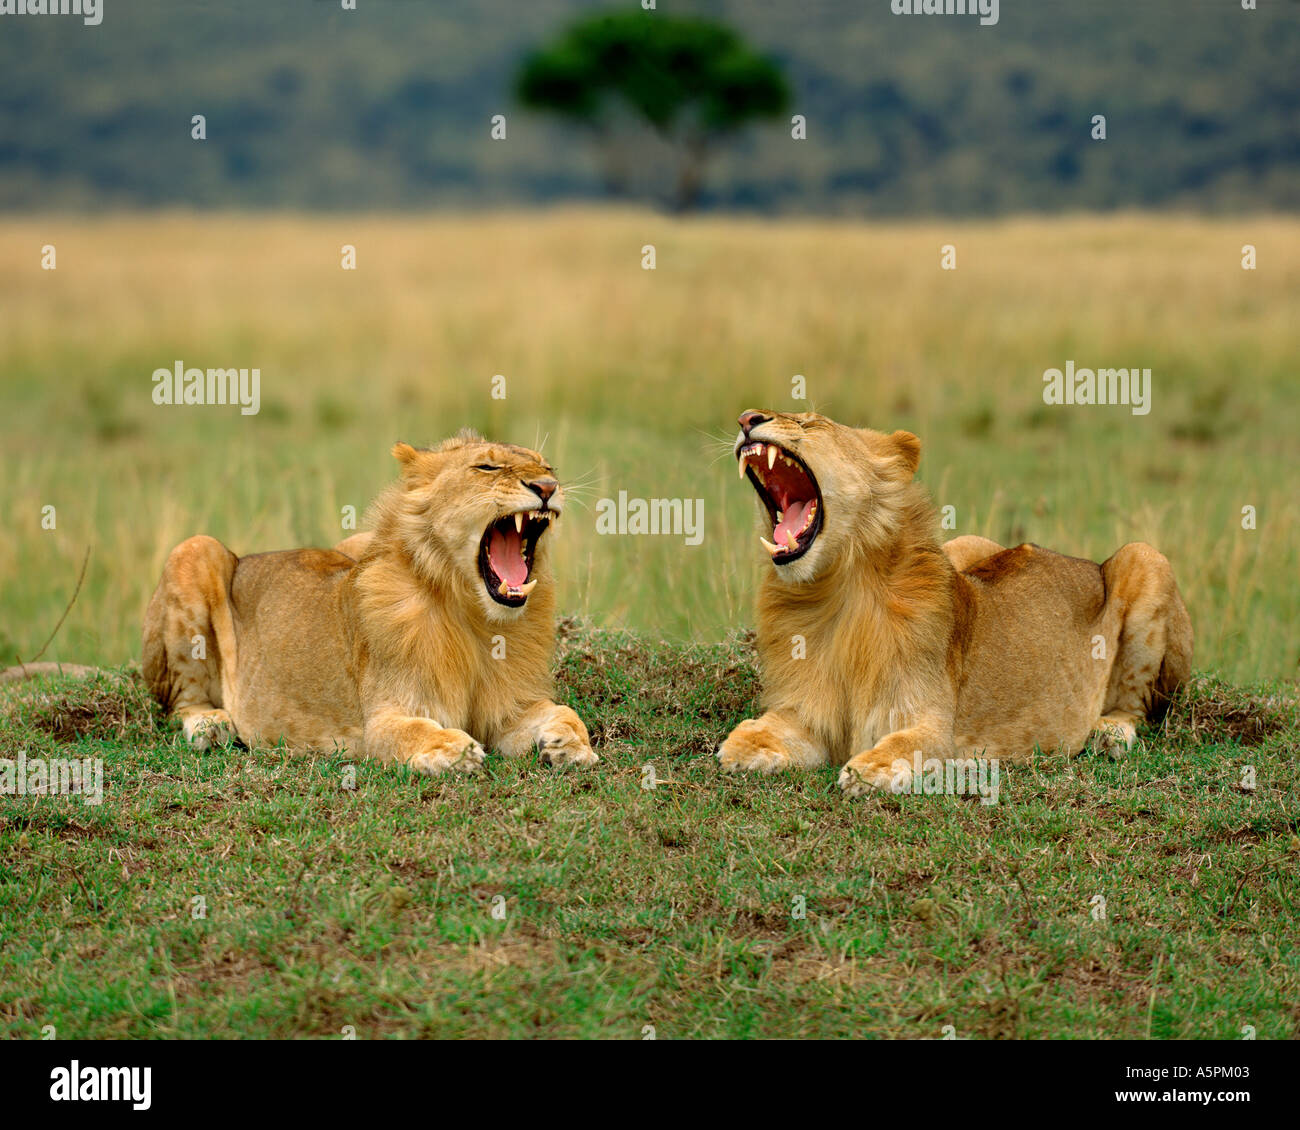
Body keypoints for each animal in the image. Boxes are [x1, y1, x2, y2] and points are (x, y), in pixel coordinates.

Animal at [140, 432, 596, 775]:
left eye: (548, 468)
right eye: (487, 467)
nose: (548, 488)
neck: (476, 616)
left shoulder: (509, 709)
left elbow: (562, 710)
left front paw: (571, 743)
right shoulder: (382, 718)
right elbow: (413, 732)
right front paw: (455, 750)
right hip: (194, 550)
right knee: (179, 702)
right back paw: (210, 725)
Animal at [716, 409, 1192, 795]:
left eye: (810, 422)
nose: (746, 418)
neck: (834, 591)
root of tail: (1080, 560)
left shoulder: (934, 724)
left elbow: (907, 746)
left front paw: (867, 771)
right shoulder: (812, 714)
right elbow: (772, 727)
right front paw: (740, 745)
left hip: (1145, 558)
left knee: (1138, 707)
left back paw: (1110, 734)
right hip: (967, 544)